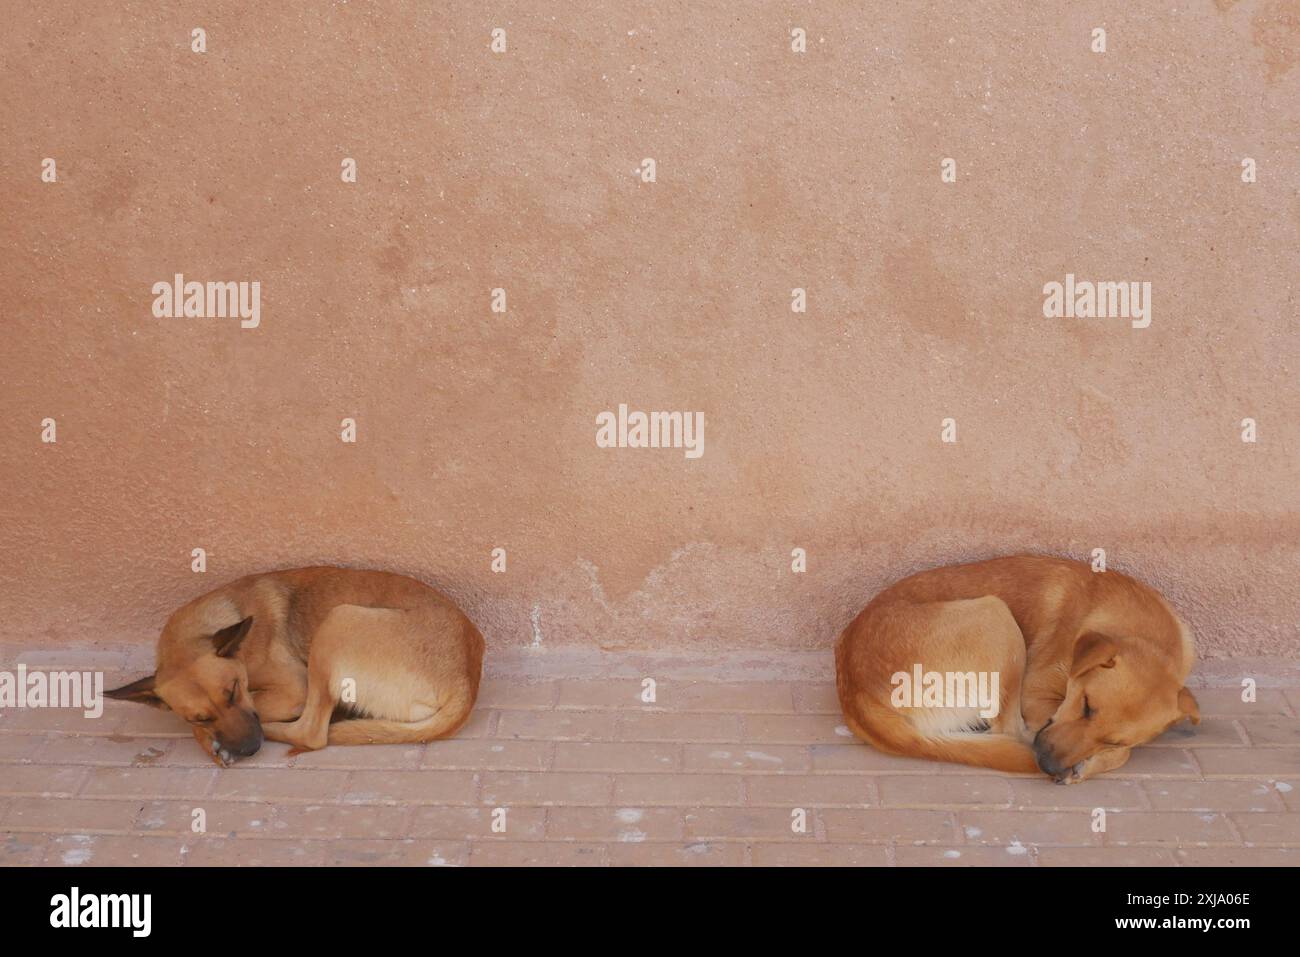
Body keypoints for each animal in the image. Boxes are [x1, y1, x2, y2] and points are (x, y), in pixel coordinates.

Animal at [105, 564, 483, 764]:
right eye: (199, 715)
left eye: (234, 691)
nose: (249, 748)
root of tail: (467, 679)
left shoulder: (293, 688)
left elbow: (261, 707)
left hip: (338, 621)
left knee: (312, 733)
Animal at [832, 556, 1196, 780]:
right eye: (1086, 706)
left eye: (1114, 740)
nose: (1048, 765)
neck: (1148, 635)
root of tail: (856, 692)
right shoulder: (1035, 695)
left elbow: (1125, 754)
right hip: (995, 616)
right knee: (1008, 730)